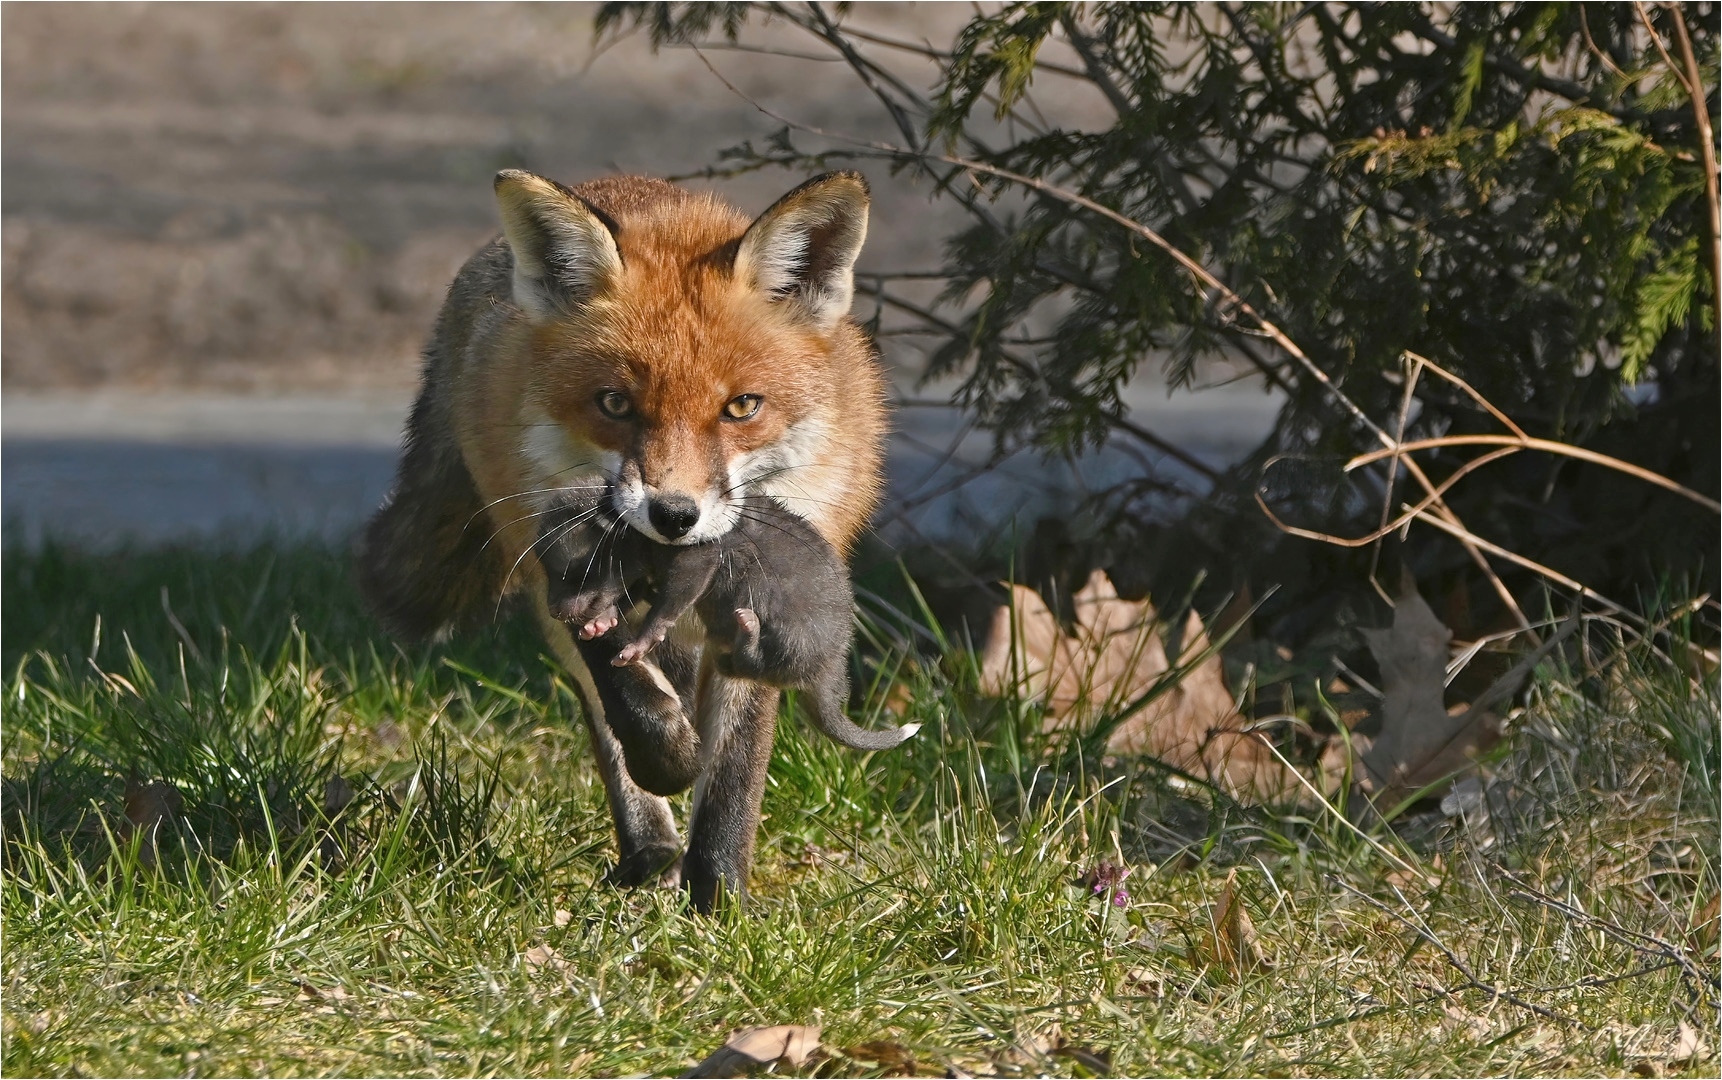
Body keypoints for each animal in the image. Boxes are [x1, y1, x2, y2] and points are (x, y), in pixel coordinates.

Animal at [351, 171, 888, 909]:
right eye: (615, 404)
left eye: (742, 407)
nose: (674, 515)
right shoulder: (562, 568)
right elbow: (627, 696)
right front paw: (669, 758)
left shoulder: (765, 612)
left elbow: (733, 775)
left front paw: (721, 900)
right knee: (609, 722)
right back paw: (649, 845)